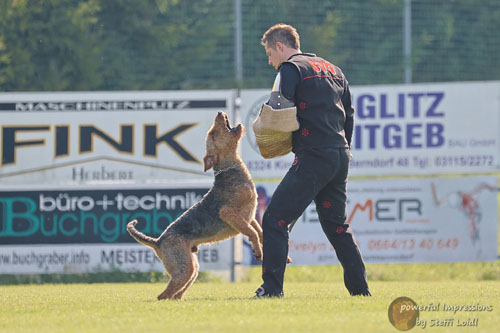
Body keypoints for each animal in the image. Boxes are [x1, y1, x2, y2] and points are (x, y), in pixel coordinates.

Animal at [127, 113, 264, 300]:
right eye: (213, 133)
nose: (220, 113)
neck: (230, 169)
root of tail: (158, 241)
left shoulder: (250, 217)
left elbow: (259, 232)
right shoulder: (230, 213)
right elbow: (252, 233)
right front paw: (258, 252)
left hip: (192, 267)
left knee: (176, 292)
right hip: (184, 268)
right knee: (164, 294)